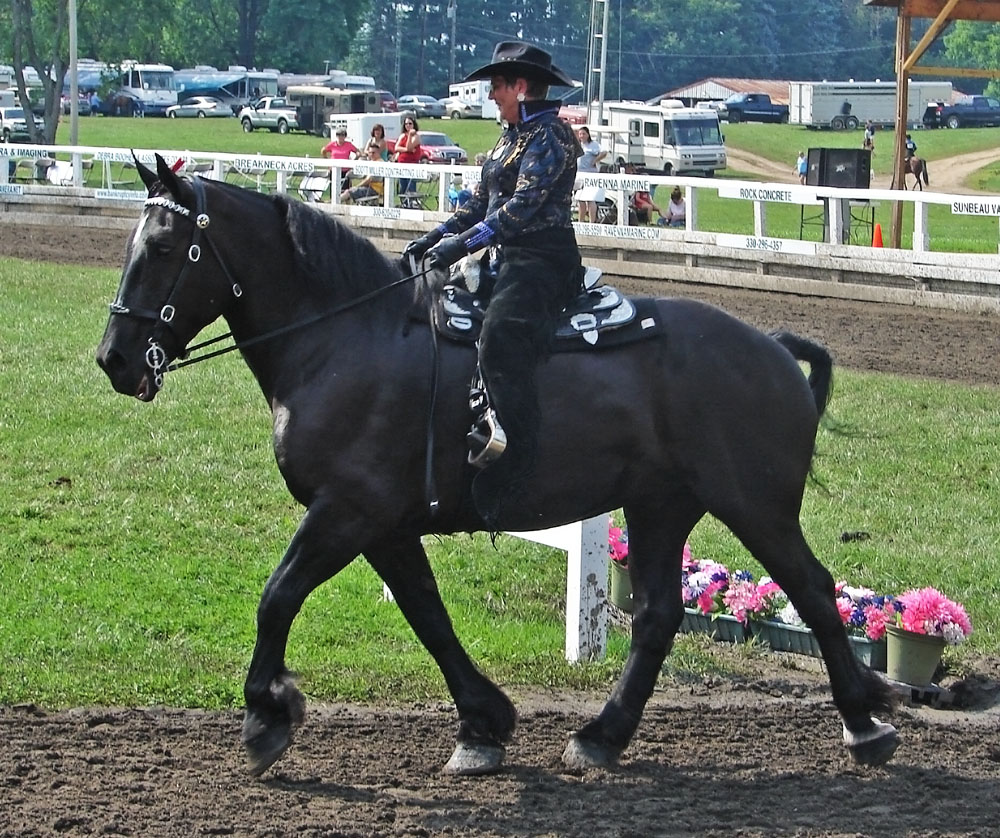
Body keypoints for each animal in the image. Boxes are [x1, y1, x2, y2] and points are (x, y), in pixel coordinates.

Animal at [97, 156, 900, 780]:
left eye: (165, 247)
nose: (114, 358)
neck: (346, 338)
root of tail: (772, 346)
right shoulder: (383, 525)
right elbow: (427, 613)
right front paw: (483, 724)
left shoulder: (346, 511)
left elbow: (278, 597)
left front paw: (266, 717)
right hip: (660, 506)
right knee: (659, 616)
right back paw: (601, 736)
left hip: (755, 505)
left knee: (813, 591)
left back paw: (865, 724)